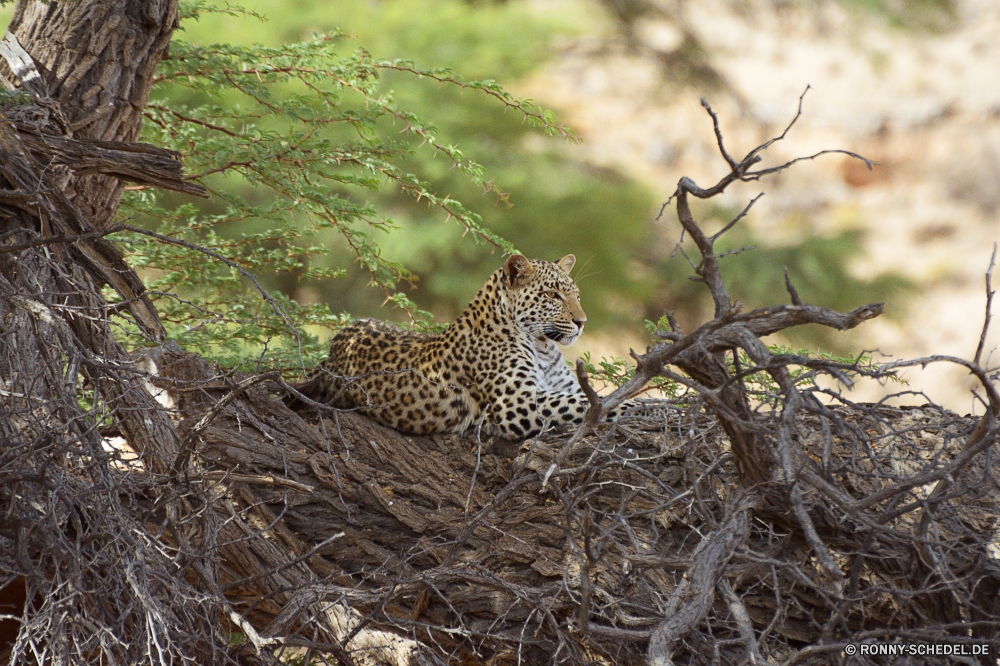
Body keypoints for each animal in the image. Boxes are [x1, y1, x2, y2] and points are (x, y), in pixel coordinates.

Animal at [292, 252, 632, 438]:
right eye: (552, 295)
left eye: (577, 295)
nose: (582, 322)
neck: (544, 348)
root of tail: (333, 352)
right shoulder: (518, 407)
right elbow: (587, 403)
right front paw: (636, 406)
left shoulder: (560, 388)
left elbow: (590, 398)